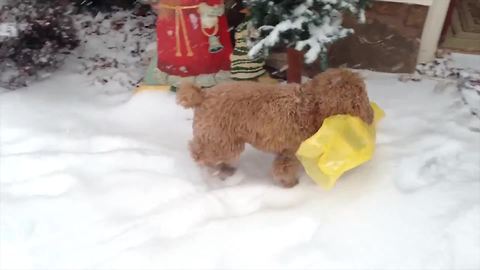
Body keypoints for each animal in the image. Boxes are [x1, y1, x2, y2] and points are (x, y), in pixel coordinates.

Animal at [178, 68, 374, 187]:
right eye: (360, 95)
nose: (370, 115)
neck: (311, 105)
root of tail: (203, 96)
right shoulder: (291, 150)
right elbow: (285, 168)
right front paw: (290, 184)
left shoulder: (286, 150)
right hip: (221, 140)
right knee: (199, 152)